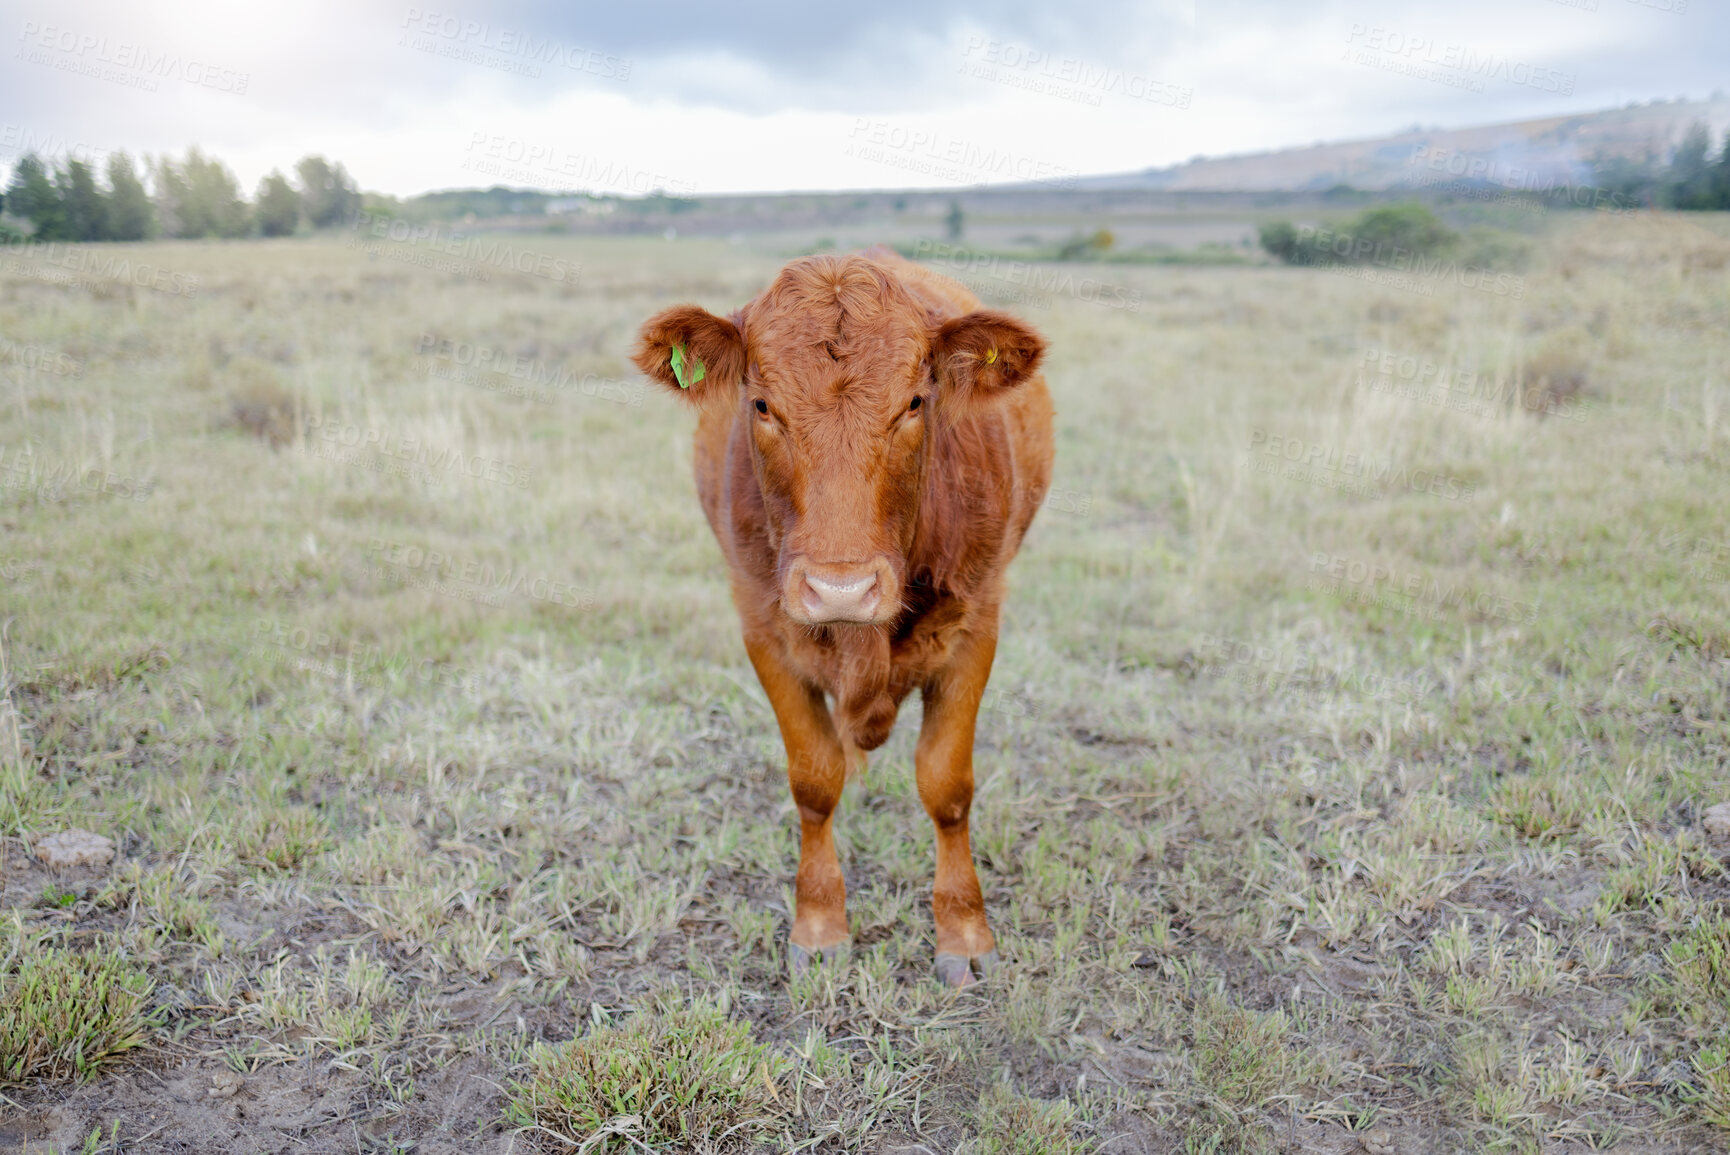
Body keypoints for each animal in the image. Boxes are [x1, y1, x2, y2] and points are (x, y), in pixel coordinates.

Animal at [629, 243, 1044, 982]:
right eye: (762, 404)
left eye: (915, 401)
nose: (841, 589)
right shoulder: (762, 625)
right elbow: (814, 780)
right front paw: (820, 923)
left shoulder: (977, 624)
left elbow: (947, 785)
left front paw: (964, 932)